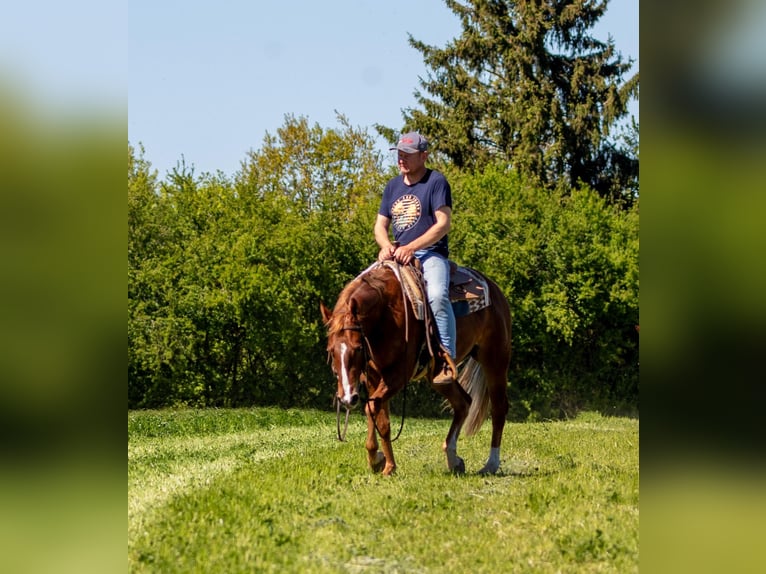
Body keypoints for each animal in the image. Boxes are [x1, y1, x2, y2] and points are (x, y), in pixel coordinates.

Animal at [320, 260, 512, 476]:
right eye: (330, 350)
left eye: (358, 347)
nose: (347, 398)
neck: (386, 313)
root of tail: (494, 289)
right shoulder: (374, 376)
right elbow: (380, 417)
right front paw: (383, 462)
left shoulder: (397, 375)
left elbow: (372, 408)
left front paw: (382, 462)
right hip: (439, 376)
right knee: (463, 402)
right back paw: (453, 459)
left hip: (495, 359)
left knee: (499, 408)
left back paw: (491, 464)